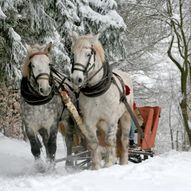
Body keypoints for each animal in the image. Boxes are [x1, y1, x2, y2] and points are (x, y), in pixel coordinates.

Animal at [69, 33, 134, 170]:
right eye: (73, 54)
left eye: (88, 54)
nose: (76, 79)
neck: (97, 91)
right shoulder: (89, 121)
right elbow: (94, 143)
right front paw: (96, 167)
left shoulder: (111, 120)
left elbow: (110, 141)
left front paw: (109, 164)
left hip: (125, 116)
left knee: (123, 140)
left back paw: (123, 162)